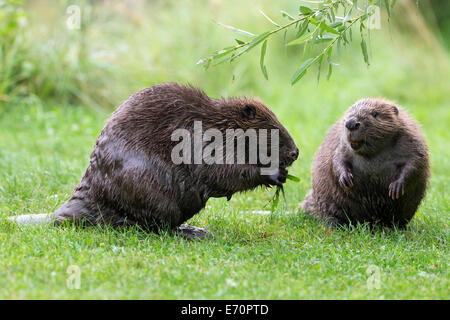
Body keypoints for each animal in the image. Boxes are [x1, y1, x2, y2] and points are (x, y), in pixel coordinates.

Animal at [8, 83, 298, 238]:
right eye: (274, 130)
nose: (295, 153)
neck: (222, 125)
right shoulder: (208, 142)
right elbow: (223, 172)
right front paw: (274, 173)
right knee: (150, 226)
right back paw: (192, 233)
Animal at [298, 97, 428, 228]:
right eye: (349, 112)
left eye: (375, 114)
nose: (351, 124)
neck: (372, 153)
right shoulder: (341, 142)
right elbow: (337, 159)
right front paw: (346, 179)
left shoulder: (410, 138)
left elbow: (415, 162)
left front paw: (396, 188)